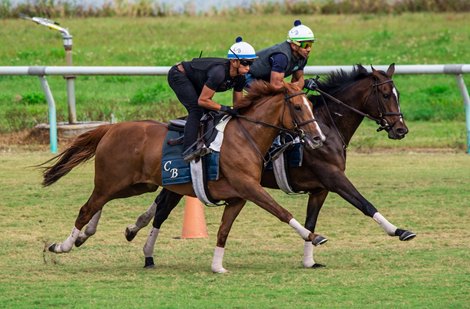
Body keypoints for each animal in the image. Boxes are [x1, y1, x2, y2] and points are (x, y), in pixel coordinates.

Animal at [39, 80, 326, 272]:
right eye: (298, 107)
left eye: (311, 106)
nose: (318, 138)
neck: (246, 136)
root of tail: (111, 128)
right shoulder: (250, 188)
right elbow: (281, 211)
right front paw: (313, 236)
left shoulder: (238, 197)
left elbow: (223, 230)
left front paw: (217, 266)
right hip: (114, 180)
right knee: (87, 207)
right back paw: (62, 245)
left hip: (136, 184)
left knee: (100, 203)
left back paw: (86, 234)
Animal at [124, 62, 414, 268]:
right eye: (385, 94)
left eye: (398, 94)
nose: (401, 129)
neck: (326, 126)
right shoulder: (333, 177)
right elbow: (364, 204)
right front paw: (399, 230)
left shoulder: (320, 188)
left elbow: (311, 221)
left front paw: (309, 259)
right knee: (162, 211)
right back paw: (146, 251)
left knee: (159, 207)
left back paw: (136, 233)